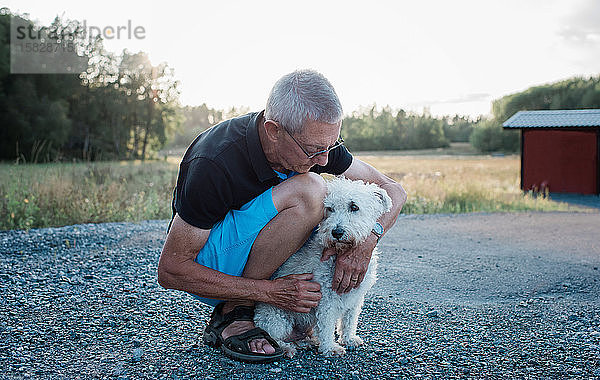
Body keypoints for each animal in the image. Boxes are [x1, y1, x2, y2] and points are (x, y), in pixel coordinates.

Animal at [254, 177, 392, 356]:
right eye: (330, 209)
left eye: (354, 207)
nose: (337, 232)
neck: (338, 253)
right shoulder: (326, 299)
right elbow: (326, 326)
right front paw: (330, 347)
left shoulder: (354, 298)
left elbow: (349, 320)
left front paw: (348, 339)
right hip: (277, 317)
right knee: (273, 336)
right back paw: (286, 348)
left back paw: (305, 341)